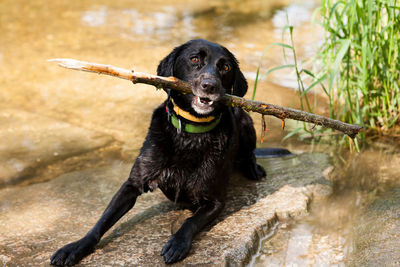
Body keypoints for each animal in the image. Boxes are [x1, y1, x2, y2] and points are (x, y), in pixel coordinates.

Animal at [50, 39, 278, 266]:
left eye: (225, 67)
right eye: (195, 59)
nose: (210, 86)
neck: (189, 134)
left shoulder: (214, 201)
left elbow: (190, 222)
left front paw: (177, 243)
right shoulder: (132, 184)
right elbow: (102, 221)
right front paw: (76, 246)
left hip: (245, 119)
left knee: (249, 152)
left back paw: (253, 168)